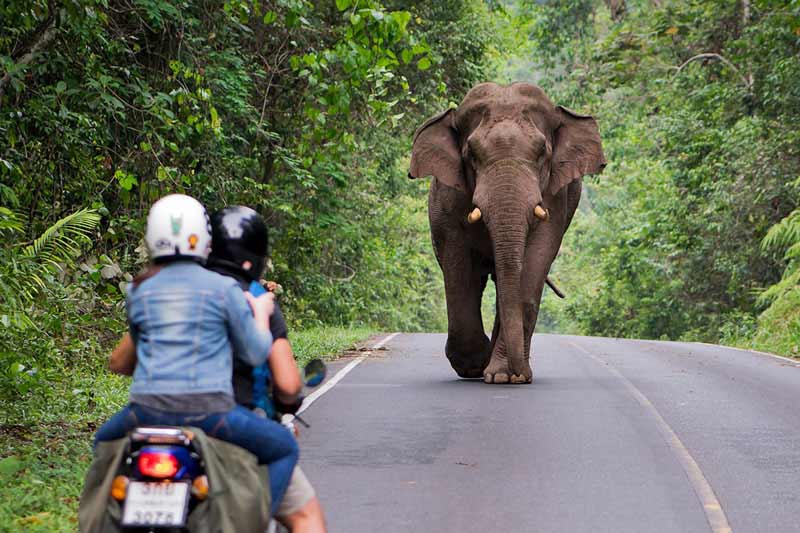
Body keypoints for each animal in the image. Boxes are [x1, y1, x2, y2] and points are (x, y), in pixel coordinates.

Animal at [410, 81, 604, 382]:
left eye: (542, 152)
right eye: (471, 154)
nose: (521, 373)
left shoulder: (556, 197)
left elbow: (538, 255)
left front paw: (505, 376)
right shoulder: (448, 196)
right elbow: (458, 265)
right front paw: (474, 367)